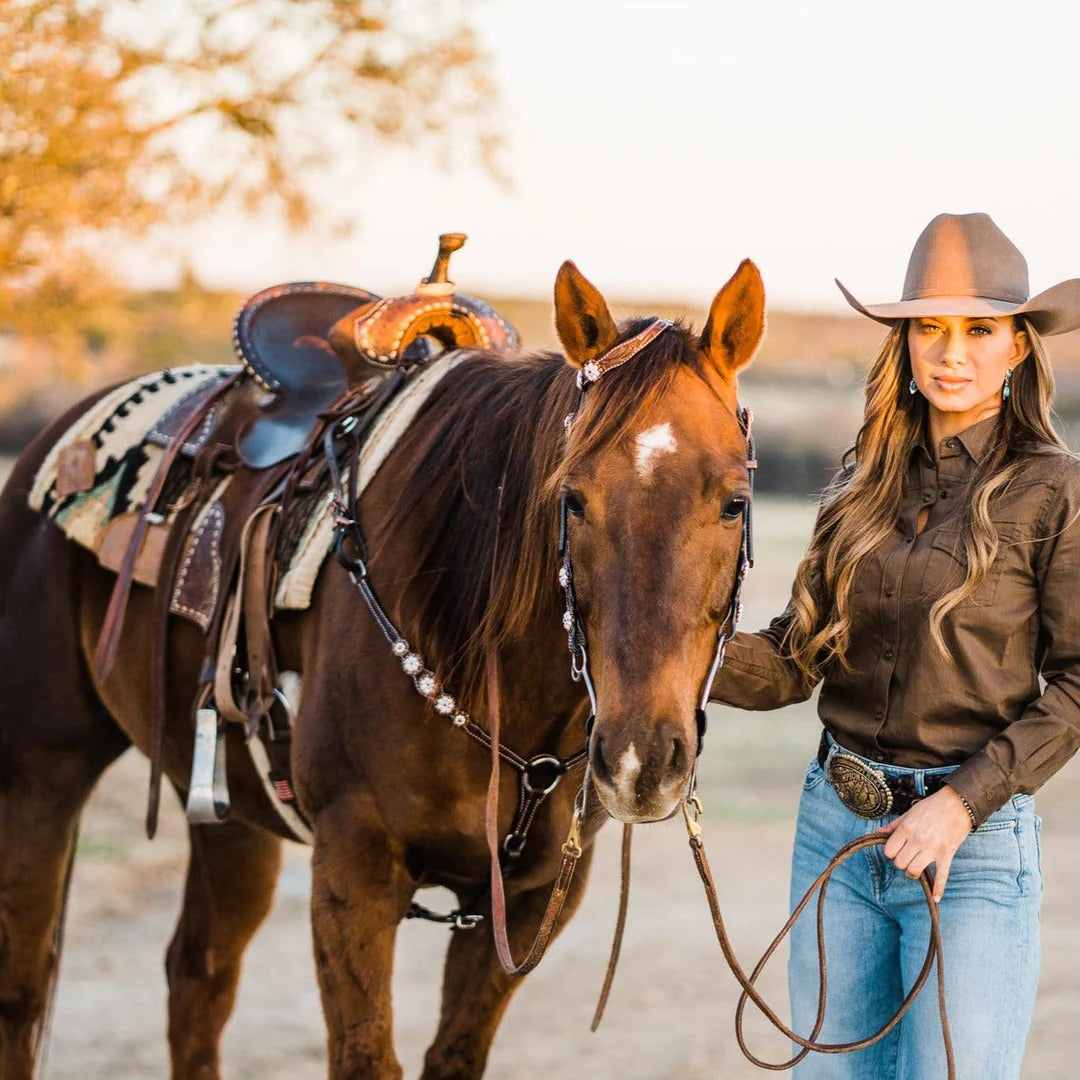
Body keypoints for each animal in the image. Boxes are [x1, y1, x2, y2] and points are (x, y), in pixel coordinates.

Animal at [0, 257, 764, 1075]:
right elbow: (366, 1055)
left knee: (197, 979)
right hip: (39, 776)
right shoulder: (353, 872)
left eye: (734, 502)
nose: (640, 759)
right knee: (24, 990)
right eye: (573, 497)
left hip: (229, 813)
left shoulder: (529, 902)